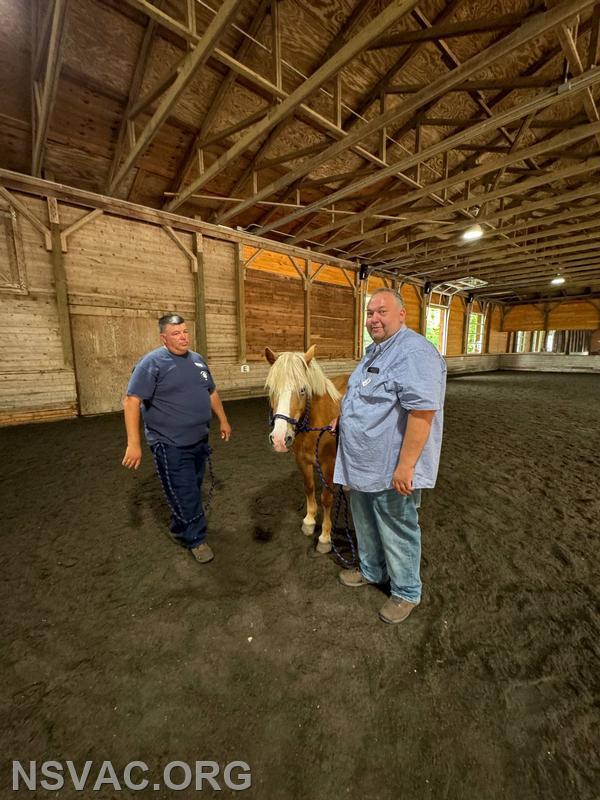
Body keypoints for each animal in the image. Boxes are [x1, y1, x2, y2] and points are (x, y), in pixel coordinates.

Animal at [264, 344, 350, 556]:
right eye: (271, 389)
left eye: (302, 390)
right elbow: (309, 487)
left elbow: (326, 498)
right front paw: (309, 521)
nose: (279, 439)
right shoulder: (302, 461)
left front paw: (325, 537)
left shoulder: (328, 465)